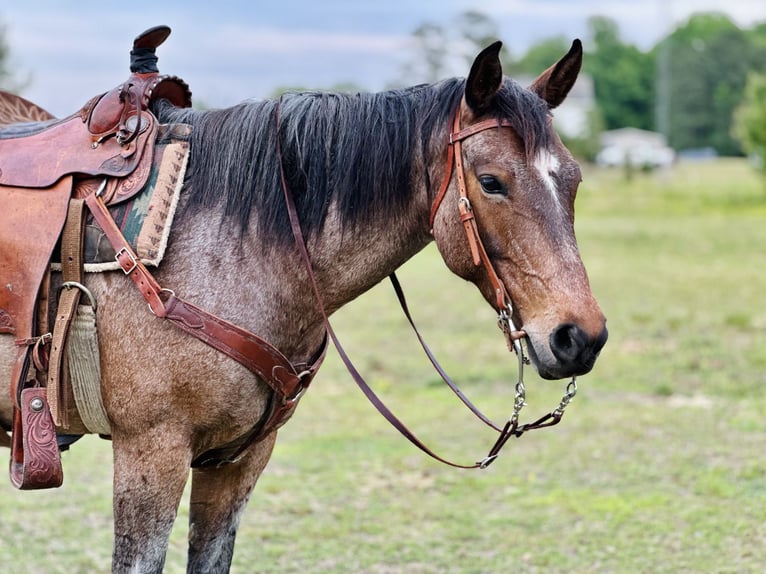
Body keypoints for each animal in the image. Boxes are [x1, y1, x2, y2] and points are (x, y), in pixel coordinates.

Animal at [0, 39, 606, 573]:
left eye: (574, 181)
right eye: (491, 181)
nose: (580, 336)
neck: (219, 245)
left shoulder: (237, 460)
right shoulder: (151, 451)